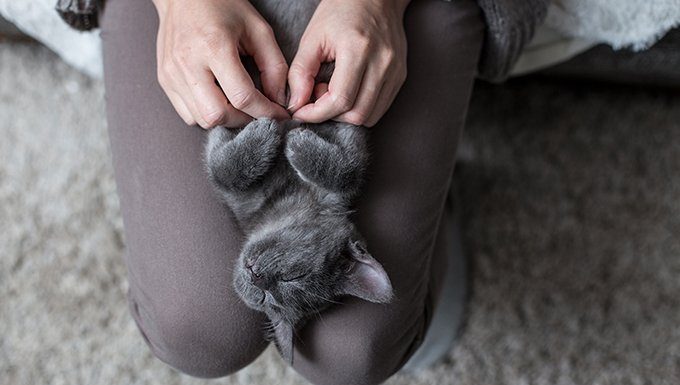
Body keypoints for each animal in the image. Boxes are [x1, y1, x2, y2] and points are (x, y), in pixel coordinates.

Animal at [202, 0, 394, 364]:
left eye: (289, 282)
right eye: (296, 275)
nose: (256, 276)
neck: (289, 195)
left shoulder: (352, 131)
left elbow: (350, 168)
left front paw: (290, 141)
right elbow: (222, 165)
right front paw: (269, 131)